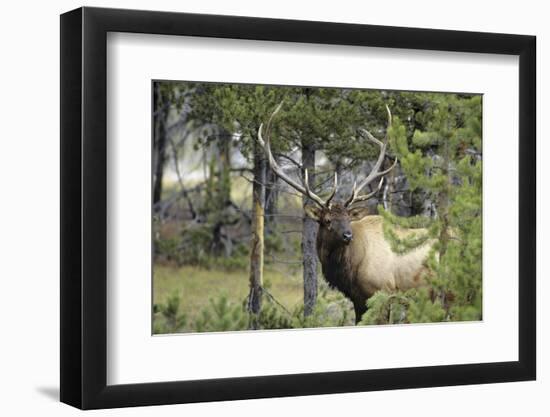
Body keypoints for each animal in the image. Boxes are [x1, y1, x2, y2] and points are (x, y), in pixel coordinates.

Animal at [258, 102, 436, 324]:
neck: (349, 271)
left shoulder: (383, 293)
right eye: (326, 220)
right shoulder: (357, 300)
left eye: (348, 219)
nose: (347, 235)